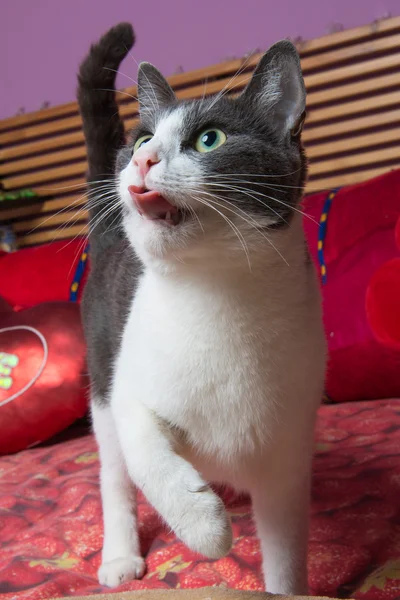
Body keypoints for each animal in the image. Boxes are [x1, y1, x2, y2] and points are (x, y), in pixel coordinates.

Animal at [77, 23, 324, 596]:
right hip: (100, 380)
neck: (216, 298)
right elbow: (147, 452)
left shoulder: (286, 457)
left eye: (210, 139)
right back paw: (120, 555)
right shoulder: (128, 391)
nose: (142, 159)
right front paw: (206, 529)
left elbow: (285, 554)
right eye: (142, 139)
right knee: (114, 475)